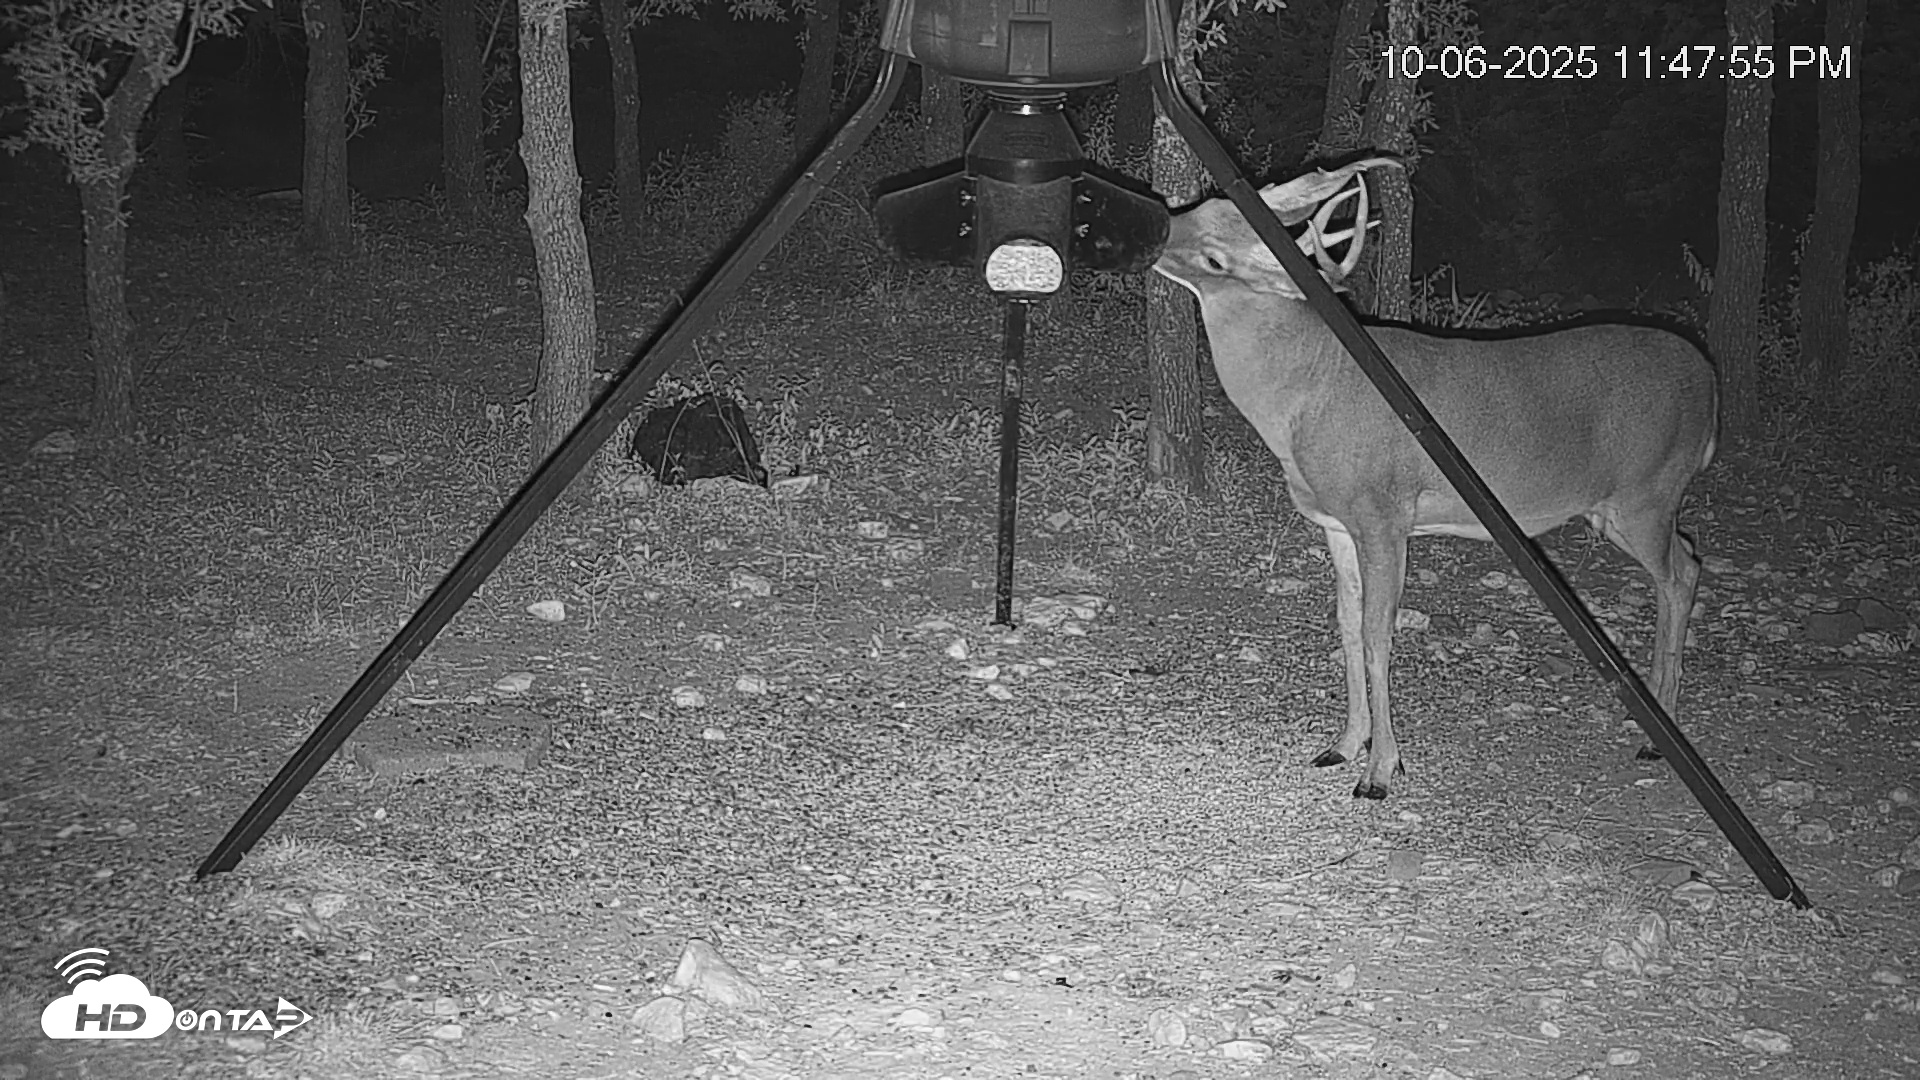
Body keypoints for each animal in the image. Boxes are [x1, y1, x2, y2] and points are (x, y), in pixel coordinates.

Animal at [1153, 159, 1719, 800]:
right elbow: (1347, 626)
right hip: (1619, 510)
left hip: (1649, 492)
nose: (1155, 227)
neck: (1308, 392)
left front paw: (1380, 771)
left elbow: (1378, 634)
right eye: (1200, 207)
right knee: (1689, 562)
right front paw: (1343, 745)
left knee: (1680, 575)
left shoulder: (1384, 514)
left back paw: (1658, 733)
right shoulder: (1336, 523)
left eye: (1215, 259)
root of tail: (1710, 382)